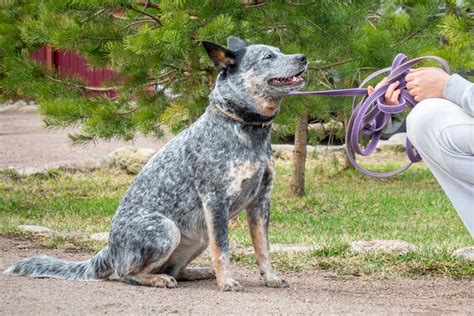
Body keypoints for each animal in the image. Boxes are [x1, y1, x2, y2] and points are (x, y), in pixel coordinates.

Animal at [5, 36, 310, 292]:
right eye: (268, 56)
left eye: (281, 50)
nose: (303, 56)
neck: (244, 128)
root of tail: (108, 249)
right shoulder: (215, 200)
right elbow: (223, 248)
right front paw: (227, 282)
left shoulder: (261, 199)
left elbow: (263, 247)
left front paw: (270, 278)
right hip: (167, 228)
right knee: (125, 273)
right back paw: (158, 279)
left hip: (198, 236)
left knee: (176, 268)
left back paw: (196, 272)